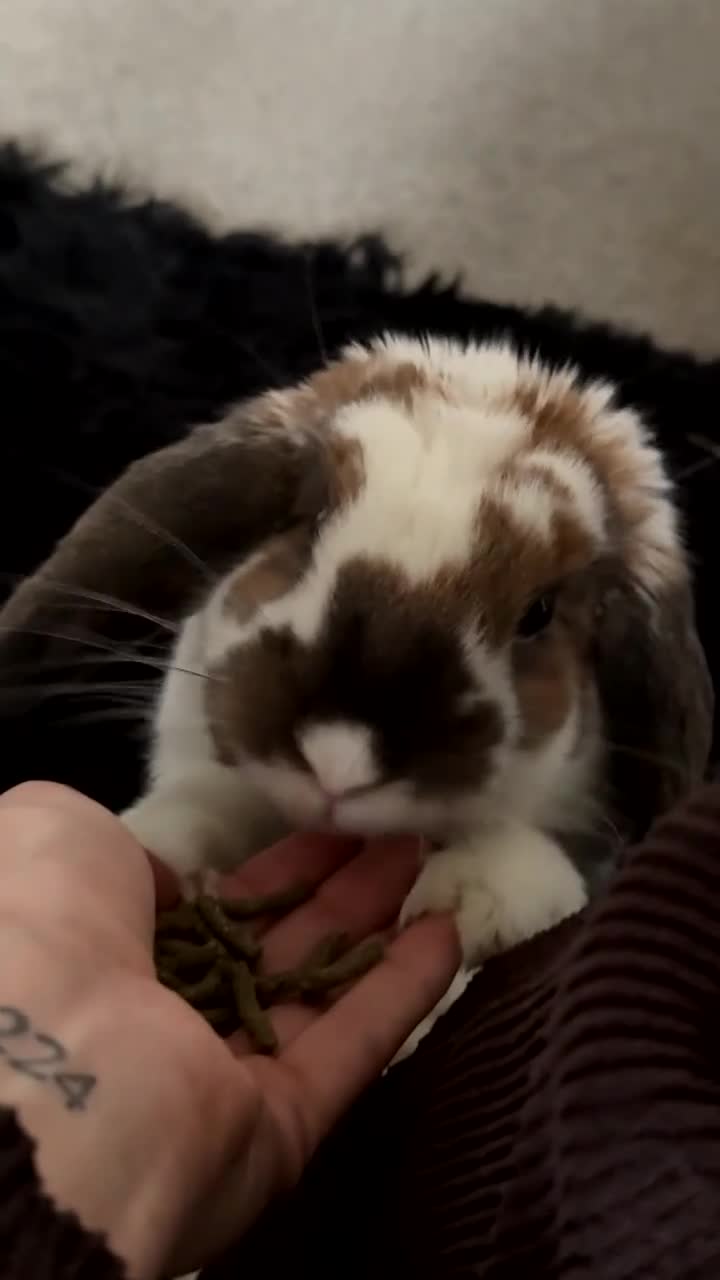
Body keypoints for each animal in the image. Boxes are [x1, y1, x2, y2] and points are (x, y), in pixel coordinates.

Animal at [0, 333, 712, 988]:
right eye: (307, 522)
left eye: (539, 612)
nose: (337, 760)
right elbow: (201, 806)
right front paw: (158, 847)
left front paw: (476, 895)